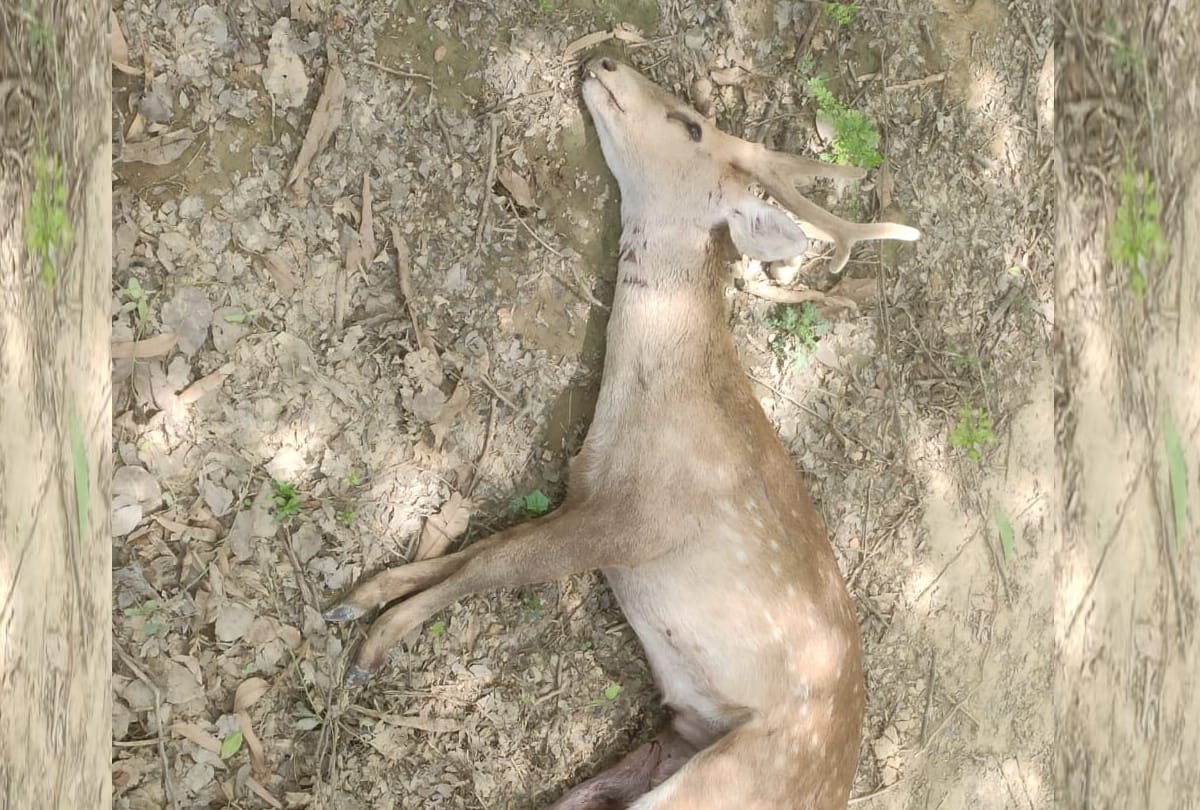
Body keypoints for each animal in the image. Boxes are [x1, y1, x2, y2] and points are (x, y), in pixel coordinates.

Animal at [324, 56, 920, 809]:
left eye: (690, 125)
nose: (606, 61)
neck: (647, 412)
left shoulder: (635, 522)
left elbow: (493, 565)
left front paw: (374, 646)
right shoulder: (584, 494)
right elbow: (485, 545)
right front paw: (359, 600)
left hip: (722, 783)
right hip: (673, 739)